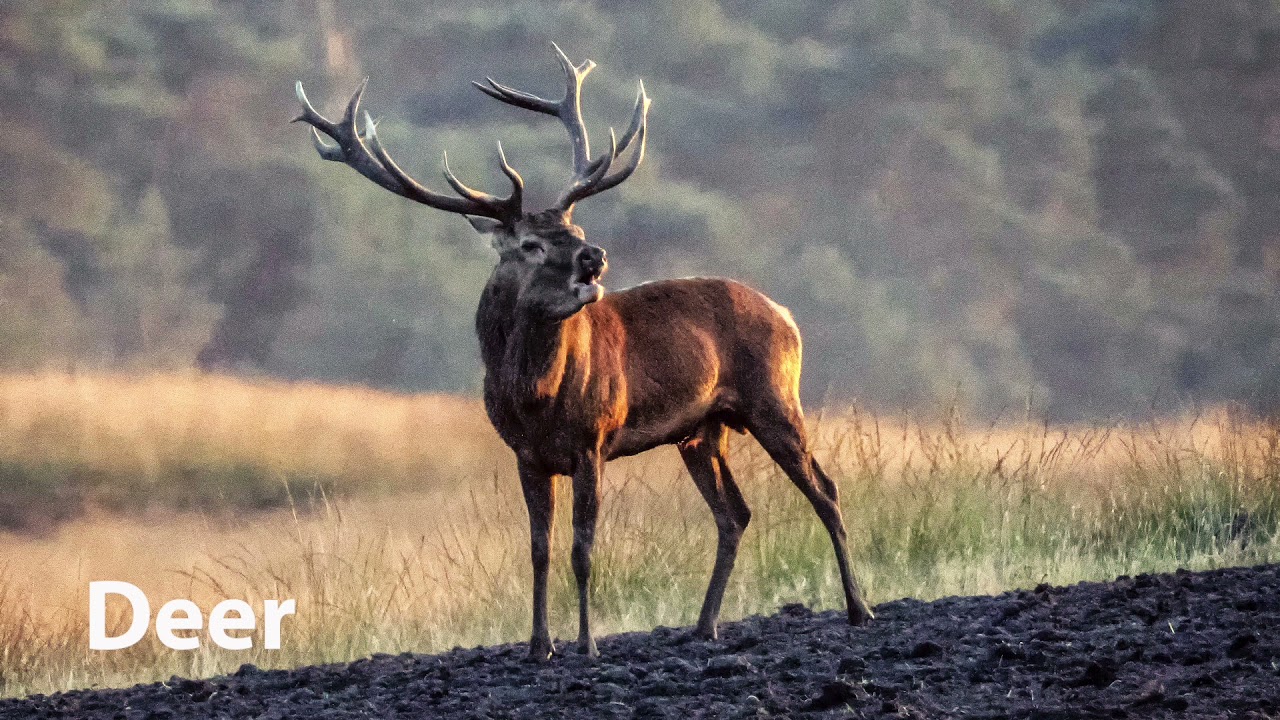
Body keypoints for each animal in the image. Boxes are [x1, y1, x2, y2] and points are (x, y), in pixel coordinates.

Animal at [294, 44, 874, 661]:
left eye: (574, 228)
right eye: (530, 244)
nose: (593, 256)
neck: (534, 397)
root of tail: (787, 315)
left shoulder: (593, 440)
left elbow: (582, 548)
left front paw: (588, 644)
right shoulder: (525, 454)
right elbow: (539, 549)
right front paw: (537, 645)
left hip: (773, 399)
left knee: (825, 489)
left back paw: (859, 609)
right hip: (701, 431)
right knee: (735, 513)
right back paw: (703, 626)